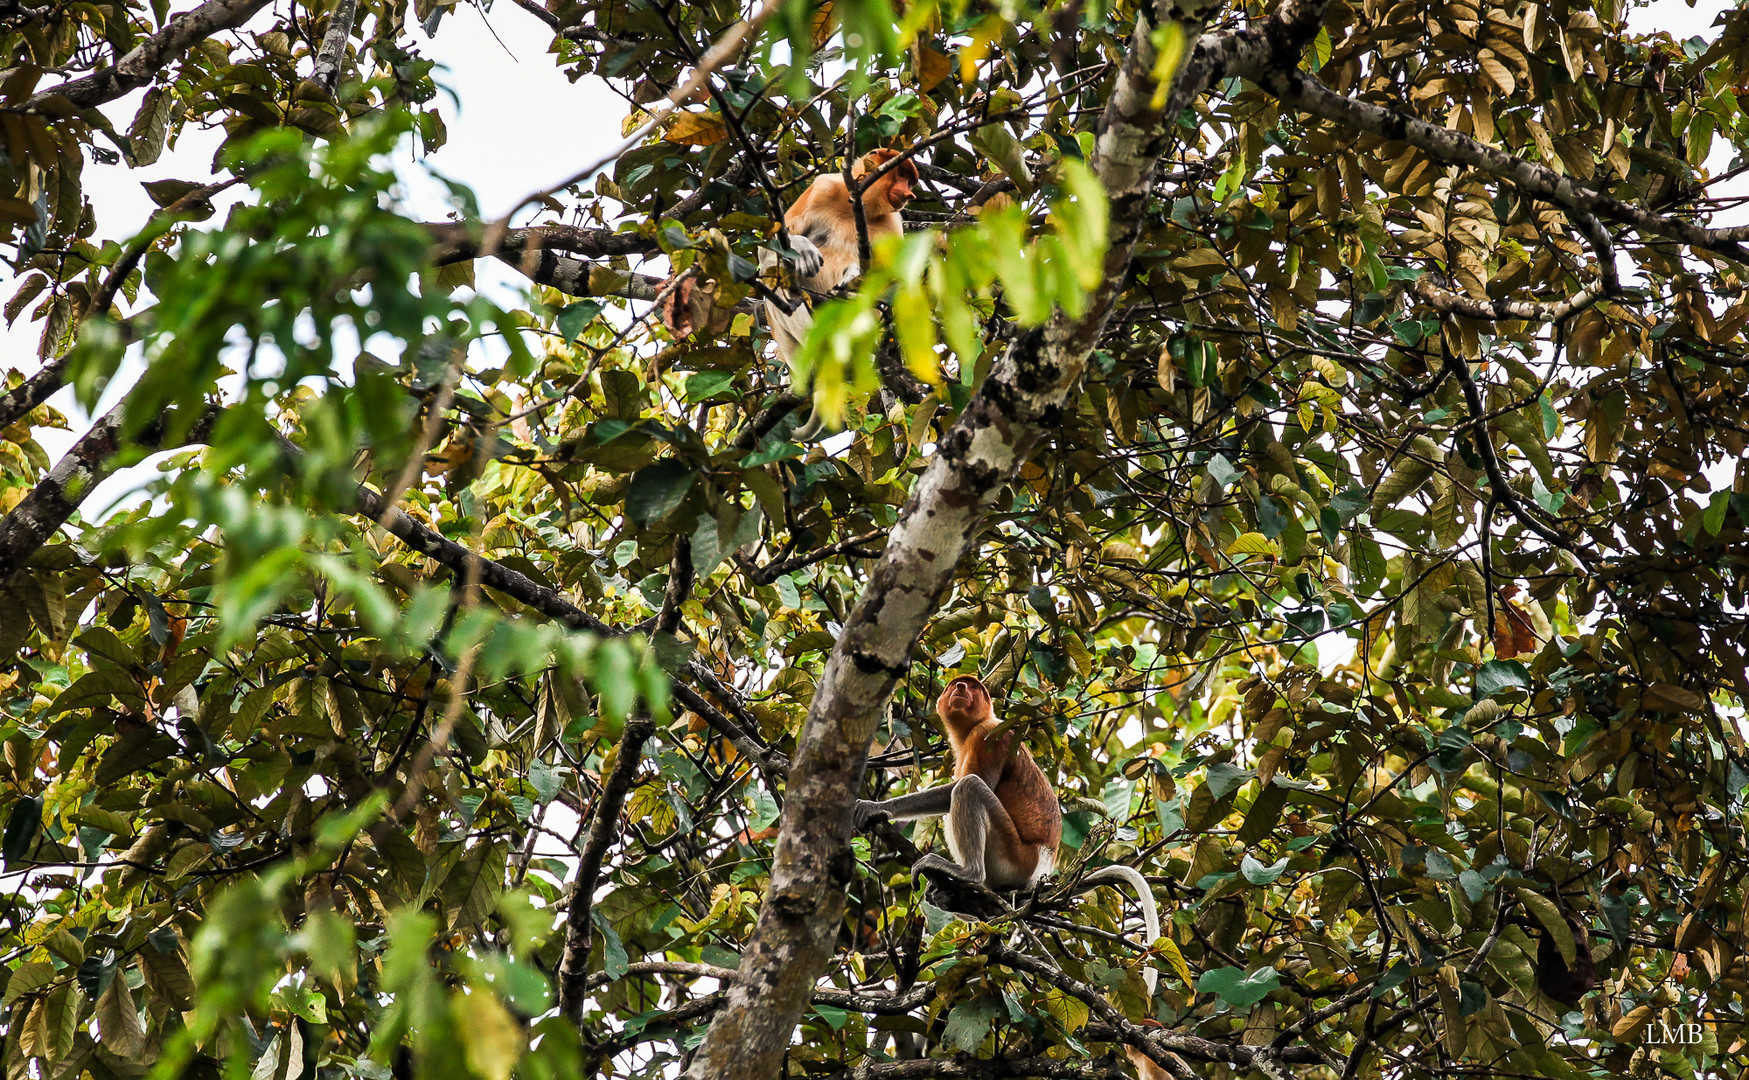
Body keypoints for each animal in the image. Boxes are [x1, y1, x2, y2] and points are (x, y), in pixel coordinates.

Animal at [762, 147, 923, 362]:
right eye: (902, 174)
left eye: (909, 181)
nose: (909, 194)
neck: (859, 206)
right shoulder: (821, 189)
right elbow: (767, 247)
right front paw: (804, 249)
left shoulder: (892, 224)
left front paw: (852, 273)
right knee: (773, 269)